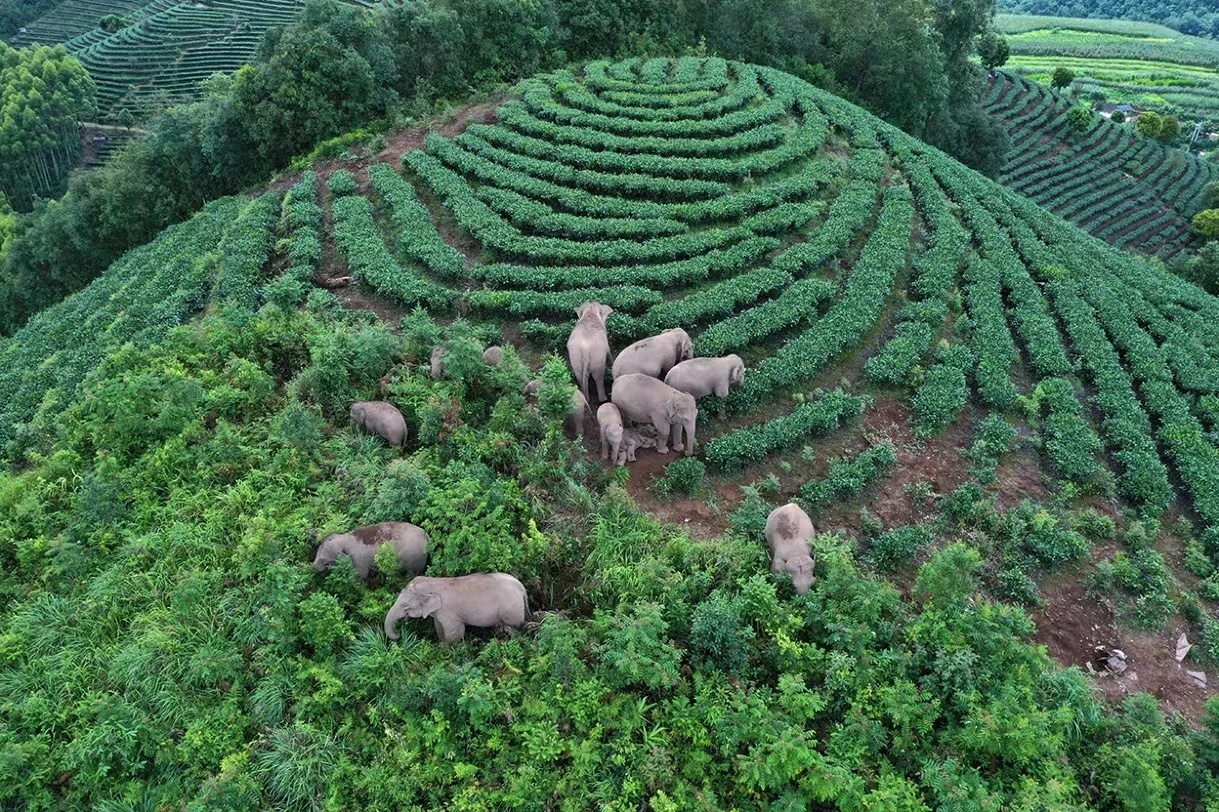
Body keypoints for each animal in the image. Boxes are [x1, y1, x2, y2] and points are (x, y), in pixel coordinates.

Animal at [384, 573, 531, 643]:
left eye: (404, 605)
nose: (399, 635)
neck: (433, 581)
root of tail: (521, 586)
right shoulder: (439, 612)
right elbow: (439, 626)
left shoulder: (448, 611)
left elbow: (456, 631)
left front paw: (444, 648)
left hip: (512, 610)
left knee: (515, 628)